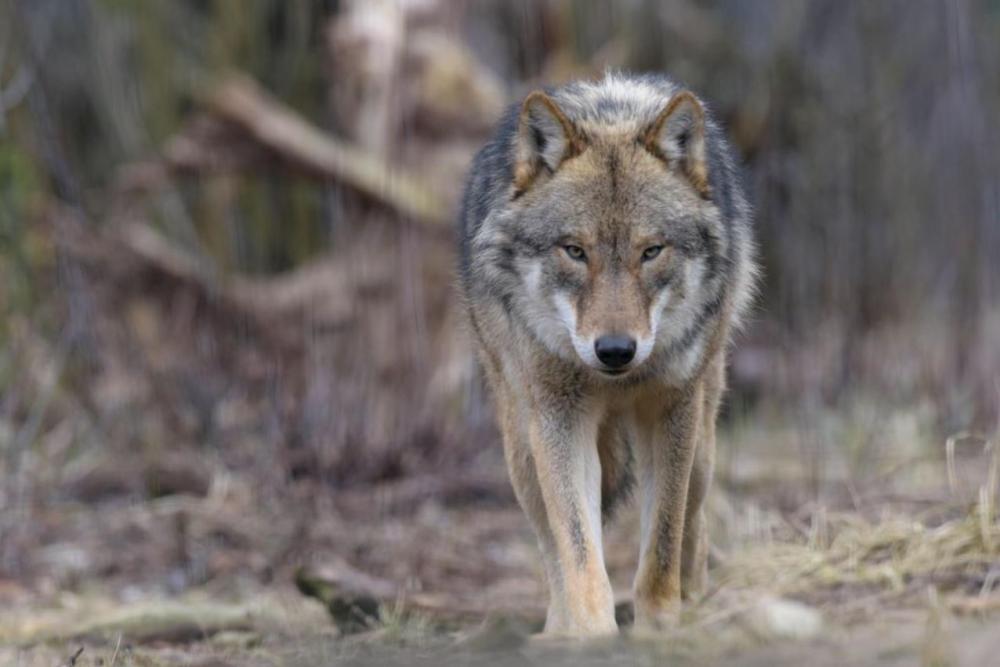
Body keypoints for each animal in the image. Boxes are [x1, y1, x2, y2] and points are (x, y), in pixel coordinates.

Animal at [458, 72, 752, 636]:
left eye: (651, 251)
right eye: (575, 251)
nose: (615, 351)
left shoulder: (670, 410)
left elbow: (663, 541)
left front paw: (660, 626)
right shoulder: (560, 417)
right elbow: (577, 548)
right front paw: (592, 633)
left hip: (703, 444)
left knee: (695, 523)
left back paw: (697, 601)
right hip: (522, 449)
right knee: (550, 545)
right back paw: (555, 631)